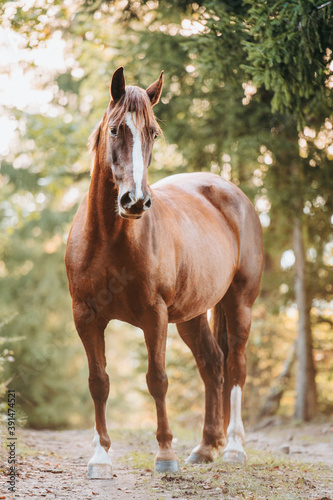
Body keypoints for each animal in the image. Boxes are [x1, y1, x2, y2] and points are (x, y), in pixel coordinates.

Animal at [65, 66, 262, 476]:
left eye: (153, 132)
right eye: (115, 129)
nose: (135, 201)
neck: (107, 239)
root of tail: (232, 192)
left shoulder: (153, 316)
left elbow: (157, 379)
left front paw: (165, 453)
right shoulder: (86, 317)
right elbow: (98, 382)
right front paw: (100, 456)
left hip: (239, 304)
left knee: (236, 365)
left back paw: (234, 447)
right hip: (190, 316)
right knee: (212, 364)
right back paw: (205, 447)